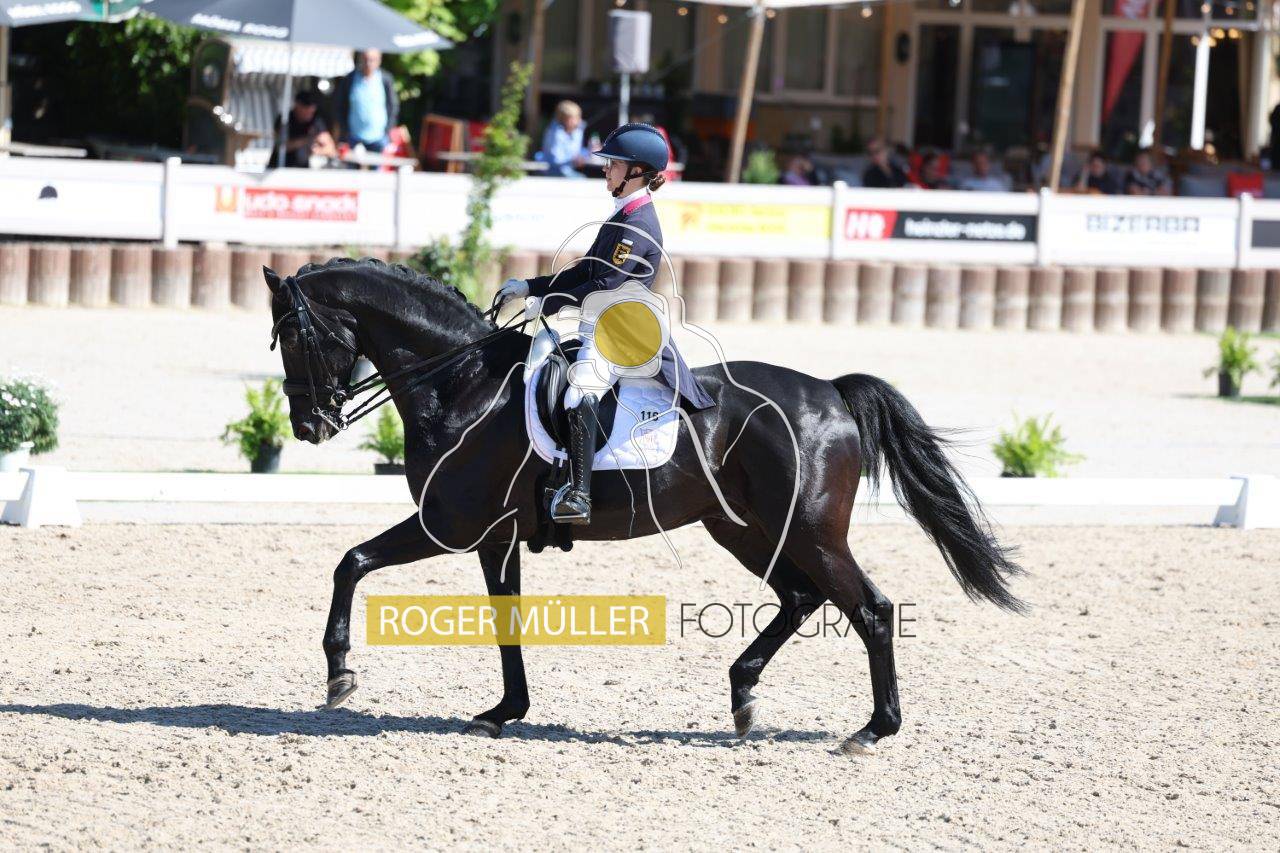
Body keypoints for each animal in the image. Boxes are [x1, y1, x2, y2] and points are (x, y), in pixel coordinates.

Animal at [264, 257, 1025, 755]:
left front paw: (339, 674)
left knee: (869, 608)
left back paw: (871, 730)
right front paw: (505, 709)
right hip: (744, 531)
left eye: (294, 336)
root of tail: (831, 392)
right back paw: (743, 696)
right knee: (802, 598)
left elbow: (351, 561)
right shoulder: (494, 537)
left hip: (809, 532)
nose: (309, 426)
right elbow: (505, 621)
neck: (461, 382)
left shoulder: (449, 524)